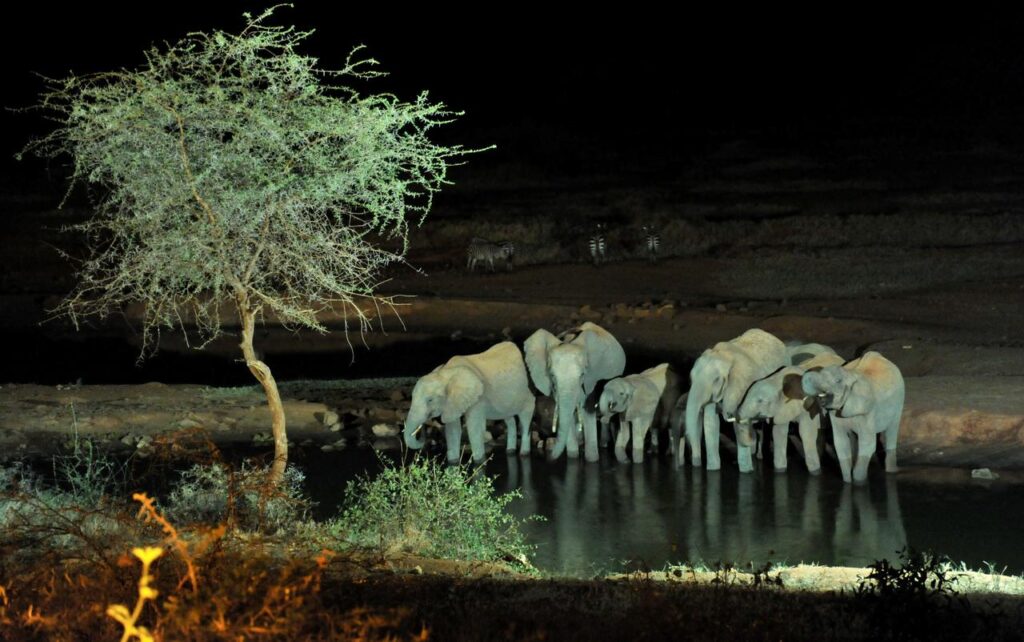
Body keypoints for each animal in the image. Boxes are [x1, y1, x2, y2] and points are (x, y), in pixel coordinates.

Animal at [403, 339, 536, 464]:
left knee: (525, 418)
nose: (423, 436)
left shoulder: (479, 398)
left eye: (430, 400)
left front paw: (479, 462)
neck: (447, 372)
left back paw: (524, 453)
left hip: (525, 395)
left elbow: (474, 429)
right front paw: (453, 463)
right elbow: (453, 431)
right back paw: (510, 451)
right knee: (509, 419)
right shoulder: (451, 403)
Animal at [528, 321, 622, 462]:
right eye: (552, 376)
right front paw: (573, 458)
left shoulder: (591, 380)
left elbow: (588, 410)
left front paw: (592, 460)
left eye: (582, 375)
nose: (548, 458)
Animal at [684, 331, 786, 473]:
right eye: (691, 378)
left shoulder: (743, 385)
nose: (696, 463)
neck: (723, 356)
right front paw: (713, 470)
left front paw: (746, 472)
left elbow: (738, 421)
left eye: (716, 380)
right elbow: (710, 422)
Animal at [798, 354, 905, 485]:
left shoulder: (867, 410)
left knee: (892, 431)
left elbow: (868, 444)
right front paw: (847, 482)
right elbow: (841, 443)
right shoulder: (835, 414)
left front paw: (859, 483)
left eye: (838, 381)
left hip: (899, 401)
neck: (850, 374)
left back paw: (892, 472)